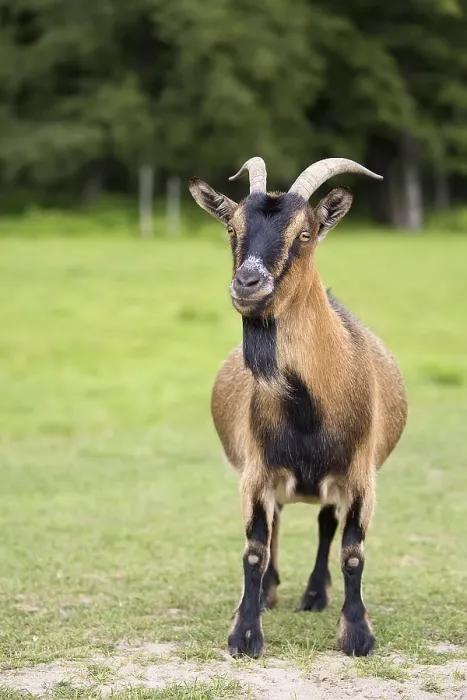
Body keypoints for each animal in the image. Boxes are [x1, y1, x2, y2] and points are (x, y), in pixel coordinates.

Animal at [189, 157, 407, 659]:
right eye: (231, 228)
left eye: (304, 234)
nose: (248, 283)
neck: (308, 410)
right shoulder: (256, 471)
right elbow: (254, 549)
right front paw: (245, 633)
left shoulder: (360, 477)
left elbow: (352, 553)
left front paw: (357, 635)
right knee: (277, 523)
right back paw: (271, 591)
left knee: (326, 523)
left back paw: (314, 594)